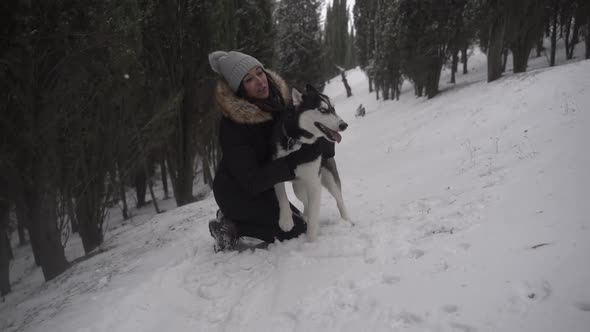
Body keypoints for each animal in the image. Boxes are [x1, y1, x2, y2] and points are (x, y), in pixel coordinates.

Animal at [272, 84, 352, 240]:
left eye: (333, 108)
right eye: (322, 110)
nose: (344, 125)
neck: (299, 142)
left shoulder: (314, 182)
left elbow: (315, 214)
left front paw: (311, 239)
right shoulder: (276, 170)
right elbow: (281, 196)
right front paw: (286, 221)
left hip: (328, 178)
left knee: (339, 199)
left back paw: (347, 220)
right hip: (298, 187)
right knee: (306, 201)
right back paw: (305, 216)